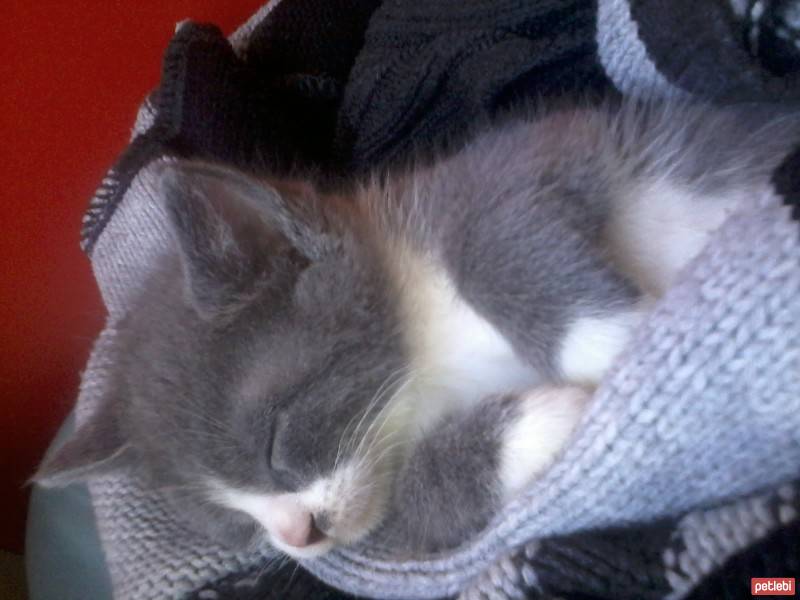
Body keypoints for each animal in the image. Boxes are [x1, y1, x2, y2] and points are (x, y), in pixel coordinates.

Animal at [36, 99, 800, 556]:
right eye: (232, 522)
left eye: (276, 442)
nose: (299, 537)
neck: (427, 362)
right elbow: (409, 512)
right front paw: (542, 424)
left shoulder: (538, 153)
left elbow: (489, 229)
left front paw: (617, 340)